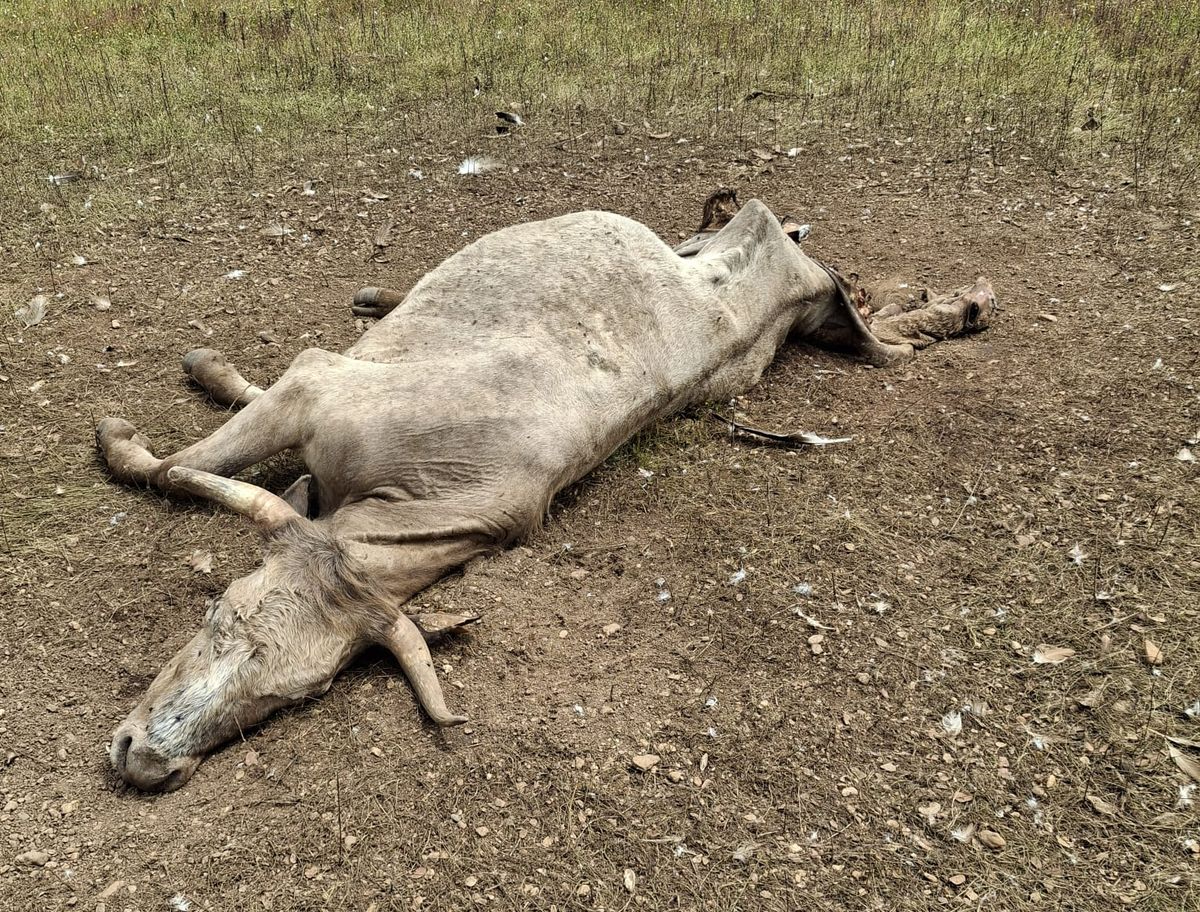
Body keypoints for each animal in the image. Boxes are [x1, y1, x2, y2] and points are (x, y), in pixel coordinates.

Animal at [96, 190, 997, 791]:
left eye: (299, 694)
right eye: (218, 616)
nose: (144, 762)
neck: (412, 494)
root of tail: (788, 272)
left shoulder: (319, 394)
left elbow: (173, 466)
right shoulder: (317, 388)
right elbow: (174, 463)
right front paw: (148, 416)